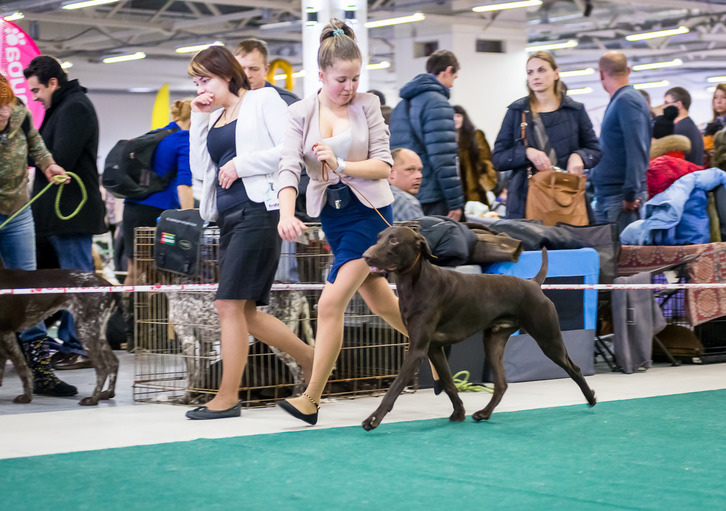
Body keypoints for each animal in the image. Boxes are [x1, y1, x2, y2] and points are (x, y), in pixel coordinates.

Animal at [0, 269, 119, 405]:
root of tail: (109, 286)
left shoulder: (6, 333)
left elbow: (23, 370)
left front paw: (26, 397)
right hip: (98, 333)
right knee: (113, 362)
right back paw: (108, 393)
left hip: (85, 330)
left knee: (102, 368)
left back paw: (93, 399)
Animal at [360, 226, 597, 430]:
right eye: (379, 237)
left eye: (394, 240)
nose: (365, 256)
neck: (415, 283)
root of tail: (533, 283)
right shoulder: (433, 348)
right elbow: (448, 383)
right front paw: (459, 412)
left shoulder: (417, 350)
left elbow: (394, 388)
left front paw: (373, 419)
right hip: (493, 341)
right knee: (501, 384)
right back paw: (484, 413)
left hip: (548, 339)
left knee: (574, 368)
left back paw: (591, 398)